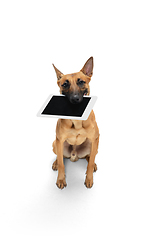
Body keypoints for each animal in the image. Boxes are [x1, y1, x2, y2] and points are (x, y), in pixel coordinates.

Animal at [51, 57, 99, 188]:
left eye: (81, 82)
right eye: (65, 84)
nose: (75, 98)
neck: (77, 120)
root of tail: (74, 156)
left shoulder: (95, 139)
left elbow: (90, 162)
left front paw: (89, 179)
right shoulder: (59, 140)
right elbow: (62, 163)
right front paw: (61, 179)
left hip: (93, 145)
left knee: (90, 157)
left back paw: (93, 164)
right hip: (55, 143)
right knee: (60, 157)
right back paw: (56, 162)